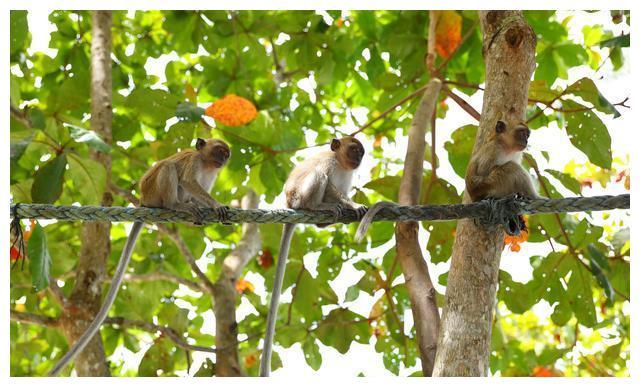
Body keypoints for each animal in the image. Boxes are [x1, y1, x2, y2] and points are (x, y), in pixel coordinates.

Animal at [48, 139, 231, 376]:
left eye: (226, 154)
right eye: (219, 151)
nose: (223, 159)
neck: (207, 165)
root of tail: (143, 200)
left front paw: (206, 208)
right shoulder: (195, 161)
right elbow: (189, 181)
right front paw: (216, 204)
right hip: (154, 190)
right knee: (168, 168)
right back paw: (175, 204)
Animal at [258, 136, 368, 376]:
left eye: (361, 153)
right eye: (354, 150)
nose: (358, 159)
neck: (341, 163)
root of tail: (288, 203)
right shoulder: (329, 162)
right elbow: (332, 187)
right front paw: (352, 203)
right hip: (299, 195)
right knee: (319, 177)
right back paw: (317, 206)